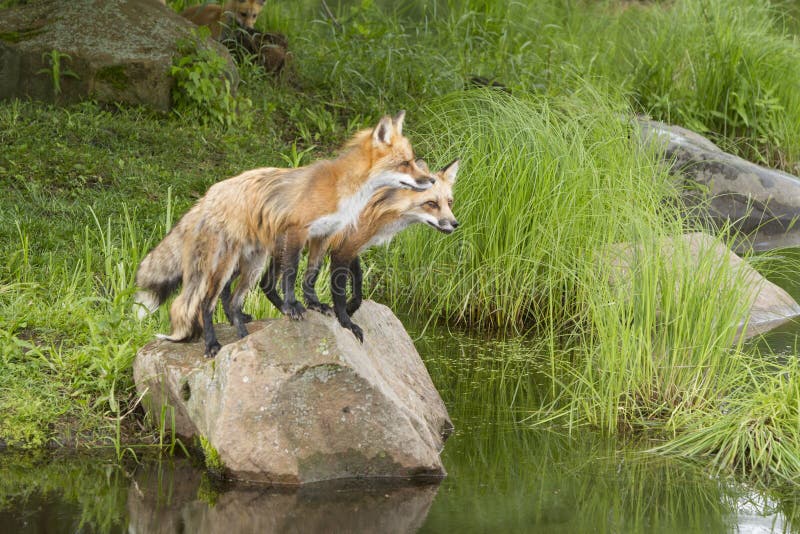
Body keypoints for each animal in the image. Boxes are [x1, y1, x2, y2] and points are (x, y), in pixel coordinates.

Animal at [134, 112, 434, 356]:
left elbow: (311, 275)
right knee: (205, 304)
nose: (430, 180)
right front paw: (293, 307)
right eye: (405, 163)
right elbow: (291, 275)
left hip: (252, 264)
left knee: (233, 303)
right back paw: (212, 344)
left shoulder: (323, 235)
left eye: (412, 161)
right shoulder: (296, 232)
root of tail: (206, 197)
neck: (345, 190)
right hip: (225, 265)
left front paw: (315, 304)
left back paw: (243, 340)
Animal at [255, 161, 456, 342]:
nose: (455, 224)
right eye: (431, 203)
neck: (377, 207)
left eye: (449, 202)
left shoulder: (352, 247)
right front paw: (346, 323)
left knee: (266, 284)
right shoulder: (341, 251)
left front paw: (351, 308)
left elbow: (358, 286)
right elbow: (339, 293)